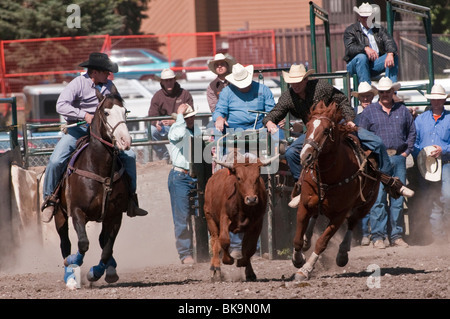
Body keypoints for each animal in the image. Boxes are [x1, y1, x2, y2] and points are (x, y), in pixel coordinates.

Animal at [55, 90, 131, 288]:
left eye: (125, 111)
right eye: (106, 112)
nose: (125, 141)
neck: (99, 168)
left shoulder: (115, 215)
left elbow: (107, 248)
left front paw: (95, 273)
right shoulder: (76, 211)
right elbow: (83, 243)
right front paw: (74, 261)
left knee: (103, 241)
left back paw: (110, 270)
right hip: (59, 214)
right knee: (65, 243)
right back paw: (70, 276)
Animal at [292, 101, 380, 282]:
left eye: (326, 130)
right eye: (308, 126)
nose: (305, 156)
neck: (328, 176)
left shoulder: (339, 215)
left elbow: (322, 242)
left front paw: (305, 270)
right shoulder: (304, 204)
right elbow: (297, 239)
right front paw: (298, 259)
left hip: (365, 205)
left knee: (353, 222)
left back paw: (342, 254)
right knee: (315, 215)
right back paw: (307, 240)